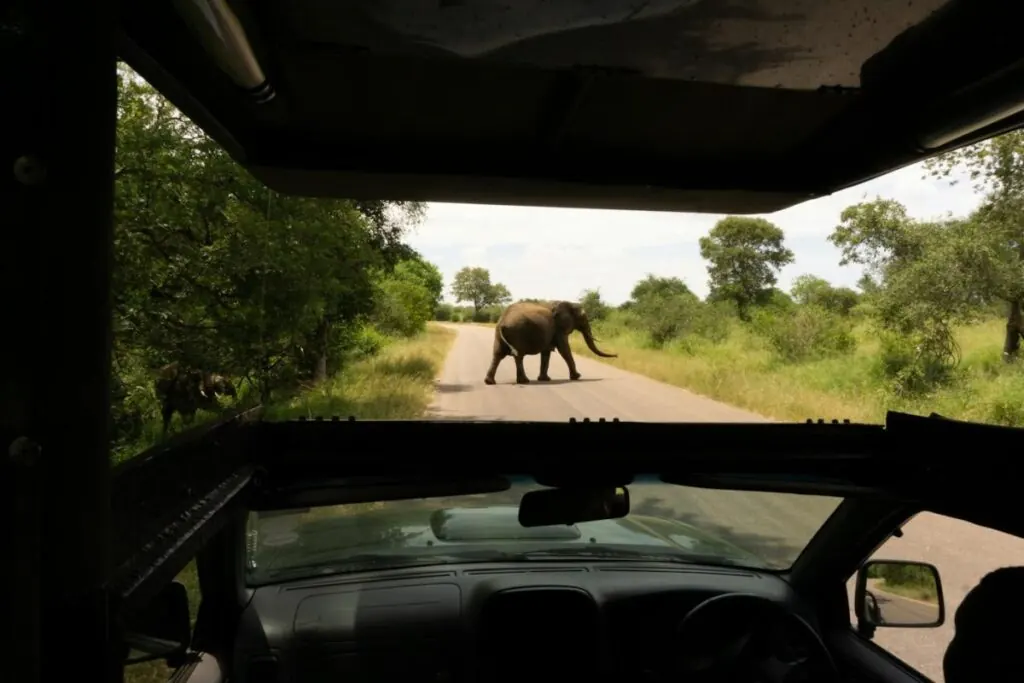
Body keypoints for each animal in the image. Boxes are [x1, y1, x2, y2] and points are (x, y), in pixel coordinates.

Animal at [484, 300, 617, 385]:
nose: (616, 355)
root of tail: (503, 321)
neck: (567, 302)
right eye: (583, 318)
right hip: (517, 332)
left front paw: (544, 379)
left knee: (497, 355)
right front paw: (577, 377)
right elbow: (564, 349)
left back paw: (489, 382)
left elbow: (547, 352)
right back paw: (524, 381)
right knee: (518, 356)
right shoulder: (559, 328)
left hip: (499, 335)